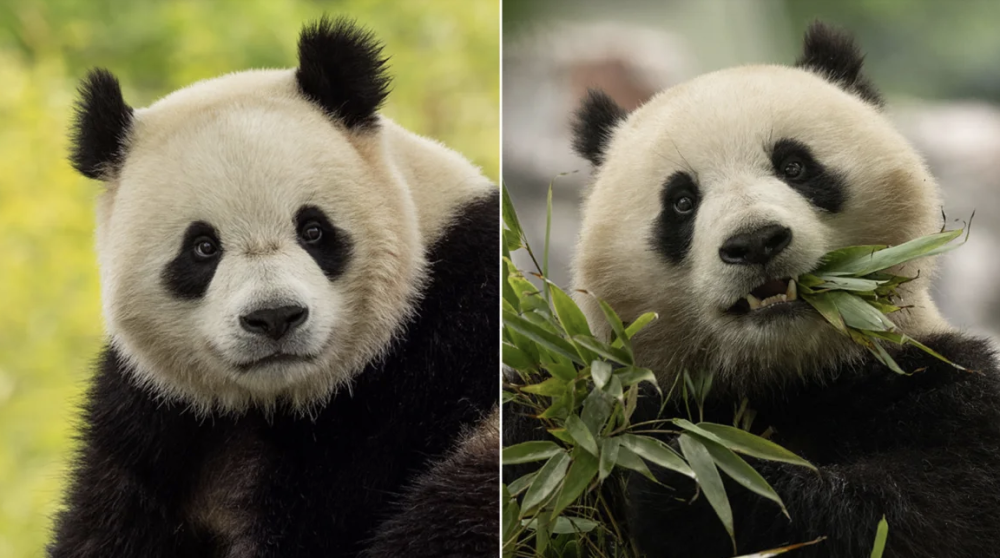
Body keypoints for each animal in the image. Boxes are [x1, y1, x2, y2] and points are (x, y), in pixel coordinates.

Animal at [47, 17, 500, 558]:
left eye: (313, 230)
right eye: (203, 247)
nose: (274, 317)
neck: (277, 401)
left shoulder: (429, 367)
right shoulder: (157, 415)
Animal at [572, 19, 1000, 556]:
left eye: (794, 165)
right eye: (682, 201)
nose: (756, 241)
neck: (786, 373)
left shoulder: (937, 383)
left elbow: (926, 514)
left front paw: (691, 484)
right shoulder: (632, 396)